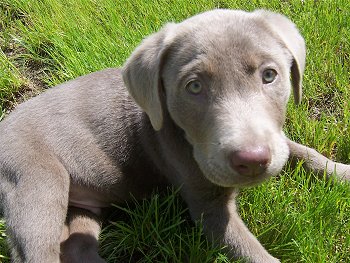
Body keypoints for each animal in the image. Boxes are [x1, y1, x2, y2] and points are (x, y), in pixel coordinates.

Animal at [0, 8, 350, 263]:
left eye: (269, 75)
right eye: (194, 86)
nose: (251, 161)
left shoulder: (274, 139)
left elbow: (302, 152)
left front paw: (341, 173)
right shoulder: (207, 207)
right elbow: (254, 254)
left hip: (81, 208)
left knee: (76, 247)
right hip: (36, 183)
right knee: (37, 251)